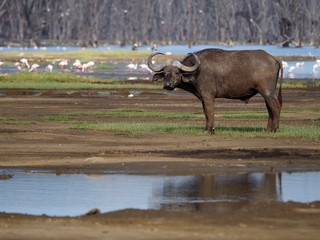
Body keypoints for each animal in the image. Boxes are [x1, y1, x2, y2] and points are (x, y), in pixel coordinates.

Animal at [148, 47, 282, 132]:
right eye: (165, 73)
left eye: (177, 72)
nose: (167, 84)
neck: (197, 71)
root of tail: (273, 58)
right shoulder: (203, 98)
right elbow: (205, 113)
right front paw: (208, 128)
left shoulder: (208, 96)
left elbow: (209, 112)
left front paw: (209, 129)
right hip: (267, 94)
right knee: (270, 108)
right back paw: (268, 129)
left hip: (267, 92)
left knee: (275, 106)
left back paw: (274, 129)